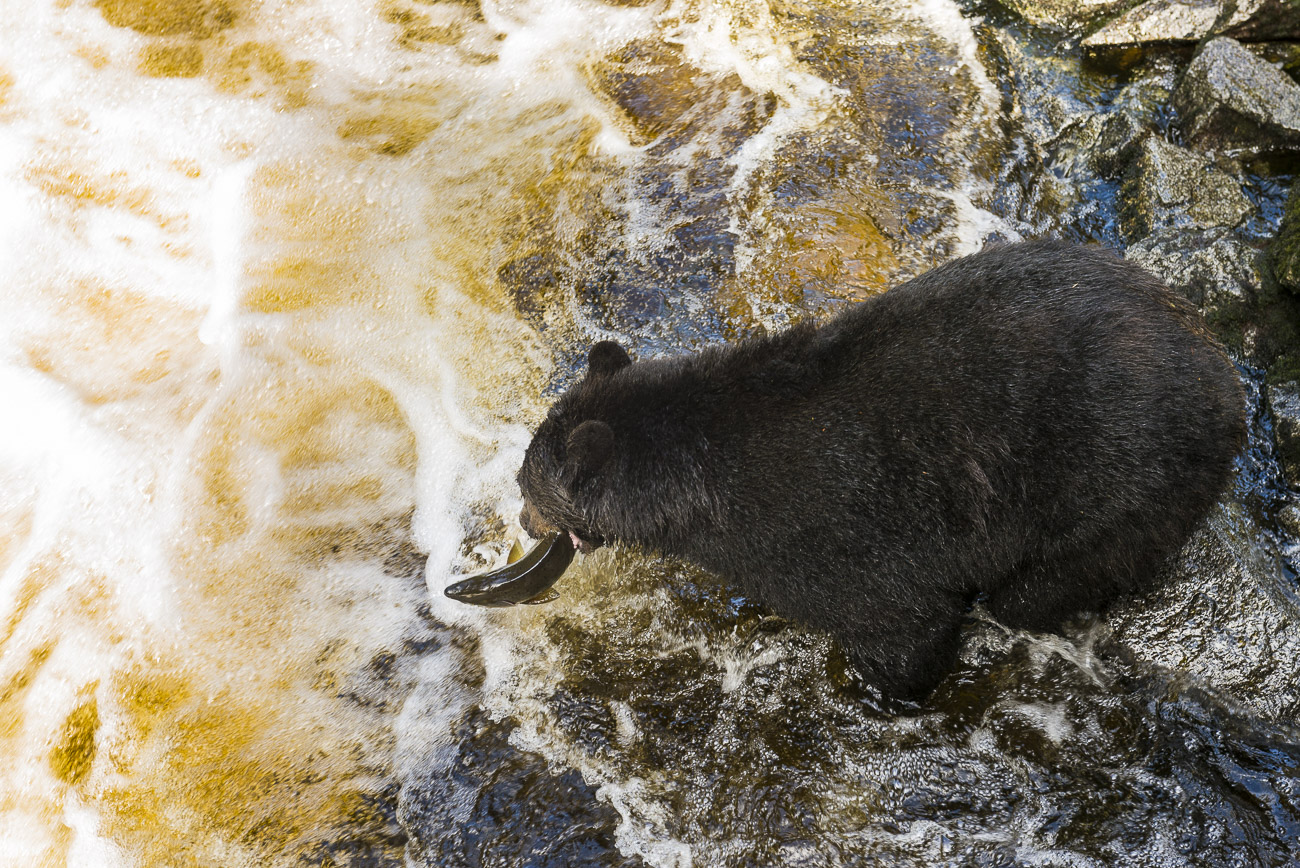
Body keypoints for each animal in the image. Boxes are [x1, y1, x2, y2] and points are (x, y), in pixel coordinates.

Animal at [512, 240, 1242, 701]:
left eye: (527, 485)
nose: (521, 520)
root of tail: (1224, 375)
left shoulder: (831, 533)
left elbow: (902, 622)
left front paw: (879, 692)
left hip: (1120, 489)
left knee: (1041, 587)